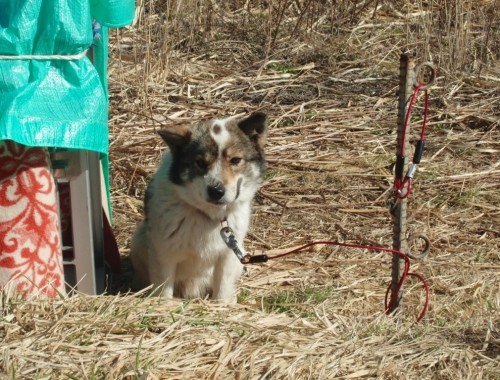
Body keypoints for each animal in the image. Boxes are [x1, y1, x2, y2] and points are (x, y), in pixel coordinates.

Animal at [131, 111, 268, 302]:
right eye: (201, 163)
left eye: (235, 160)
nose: (216, 191)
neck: (208, 215)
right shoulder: (163, 254)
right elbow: (164, 291)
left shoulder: (227, 256)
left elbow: (222, 289)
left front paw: (222, 305)